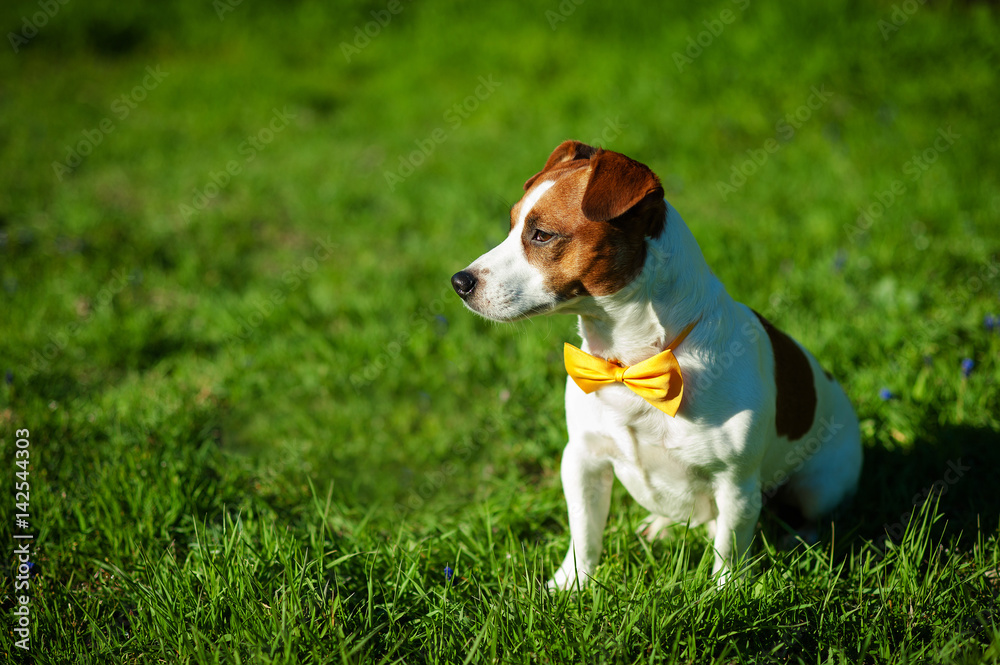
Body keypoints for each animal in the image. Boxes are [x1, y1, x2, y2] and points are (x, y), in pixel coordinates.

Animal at [450, 140, 864, 588]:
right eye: (511, 225)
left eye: (542, 235)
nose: (459, 281)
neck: (631, 362)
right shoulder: (582, 460)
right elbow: (584, 534)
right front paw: (570, 585)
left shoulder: (735, 485)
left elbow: (729, 551)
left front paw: (723, 594)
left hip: (820, 486)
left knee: (809, 515)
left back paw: (798, 538)